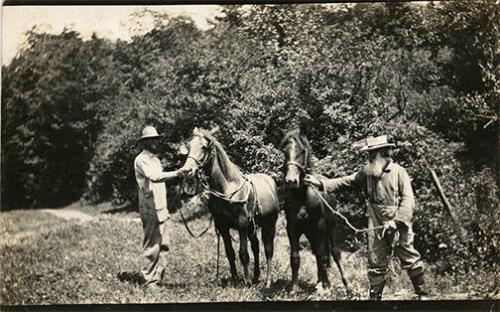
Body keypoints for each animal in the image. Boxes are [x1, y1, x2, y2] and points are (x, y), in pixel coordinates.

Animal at [180, 127, 282, 288]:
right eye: (189, 146)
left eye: (204, 147)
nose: (186, 170)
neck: (228, 189)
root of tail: (270, 181)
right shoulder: (223, 227)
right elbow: (230, 253)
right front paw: (235, 280)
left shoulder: (242, 226)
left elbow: (243, 254)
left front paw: (246, 282)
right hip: (252, 228)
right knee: (256, 247)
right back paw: (256, 277)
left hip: (269, 225)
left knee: (268, 250)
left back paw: (267, 281)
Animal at [282, 129, 348, 294]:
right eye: (285, 151)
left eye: (302, 151)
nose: (291, 181)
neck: (302, 197)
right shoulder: (292, 228)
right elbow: (295, 257)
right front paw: (294, 288)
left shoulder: (319, 226)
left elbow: (322, 255)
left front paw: (326, 287)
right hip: (311, 233)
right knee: (318, 253)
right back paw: (319, 282)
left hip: (329, 228)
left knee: (333, 252)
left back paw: (340, 284)